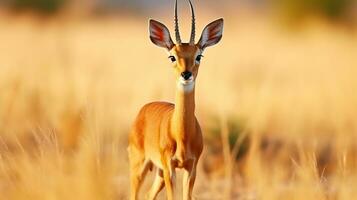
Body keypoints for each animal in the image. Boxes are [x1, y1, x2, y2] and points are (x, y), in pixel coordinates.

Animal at [128, 0, 222, 199]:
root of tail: (144, 109)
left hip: (158, 172)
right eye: (172, 56)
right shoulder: (170, 167)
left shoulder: (191, 168)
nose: (185, 74)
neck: (181, 134)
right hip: (139, 165)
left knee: (148, 195)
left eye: (199, 55)